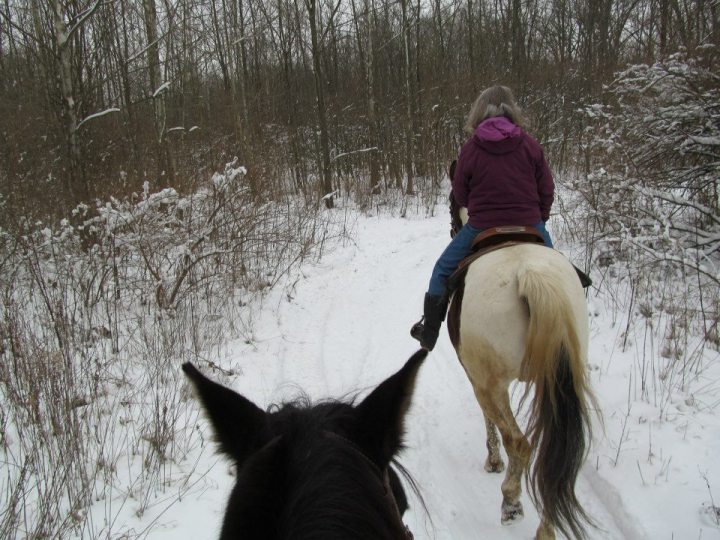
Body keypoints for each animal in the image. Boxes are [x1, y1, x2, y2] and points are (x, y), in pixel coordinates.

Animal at [450, 180, 596, 536]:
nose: (452, 227)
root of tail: (530, 274)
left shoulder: (478, 378)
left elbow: (489, 422)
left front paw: (493, 461)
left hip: (492, 384)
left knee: (521, 443)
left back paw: (511, 503)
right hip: (559, 376)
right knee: (557, 457)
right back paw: (545, 530)